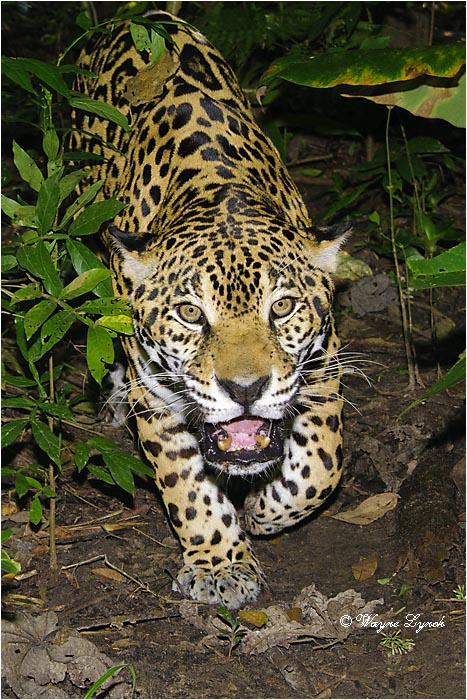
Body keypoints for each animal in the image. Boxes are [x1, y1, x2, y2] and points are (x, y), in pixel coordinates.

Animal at [72, 11, 350, 609]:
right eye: (191, 314)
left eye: (282, 307)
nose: (244, 389)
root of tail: (133, 14)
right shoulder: (157, 400)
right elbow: (188, 488)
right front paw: (221, 564)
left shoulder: (324, 369)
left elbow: (322, 463)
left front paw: (266, 513)